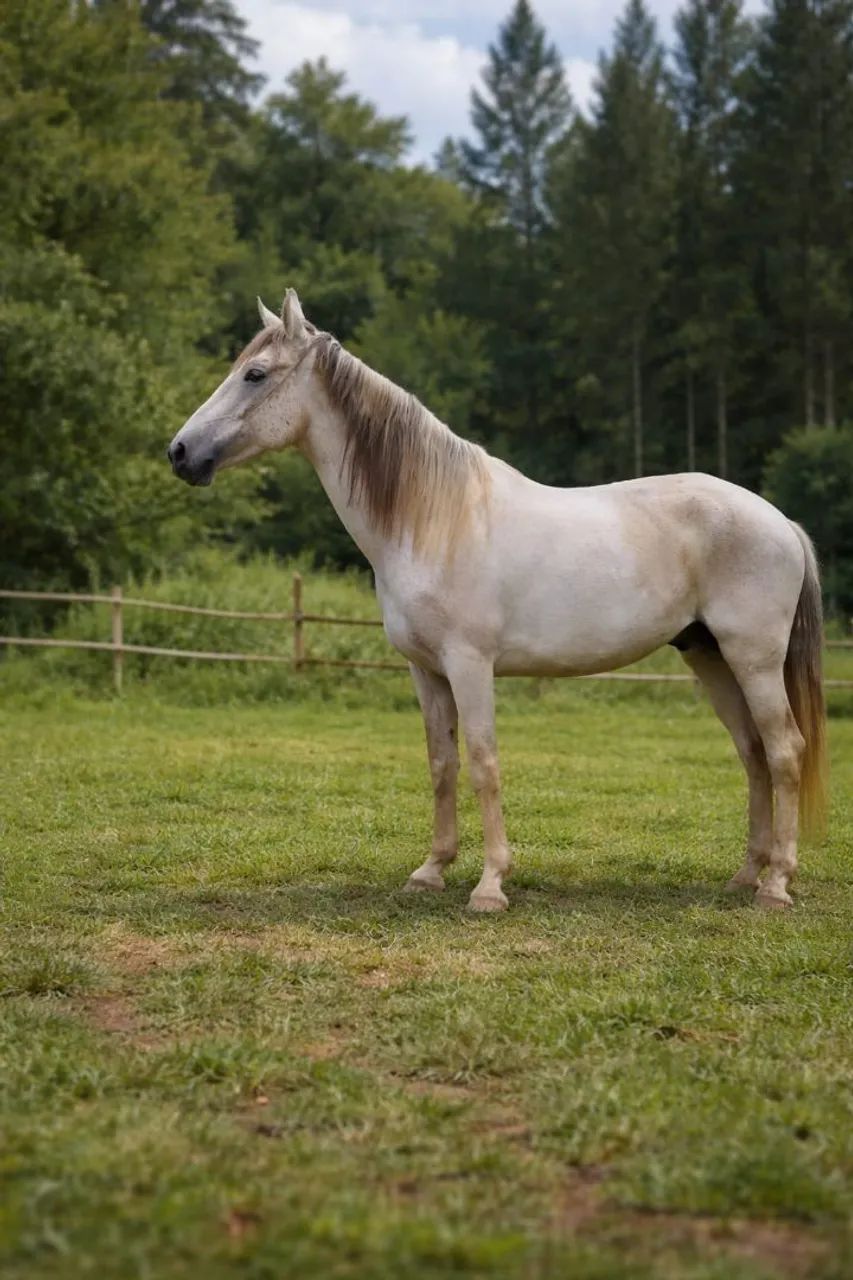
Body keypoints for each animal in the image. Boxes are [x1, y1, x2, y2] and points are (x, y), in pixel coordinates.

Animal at [167, 290, 827, 913]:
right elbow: (442, 764)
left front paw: (489, 886)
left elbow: (484, 763)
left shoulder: (469, 664)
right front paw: (430, 871)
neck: (434, 519)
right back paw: (744, 876)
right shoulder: (426, 671)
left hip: (753, 660)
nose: (179, 452)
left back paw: (776, 886)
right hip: (709, 656)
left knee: (784, 751)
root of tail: (781, 522)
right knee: (752, 752)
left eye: (256, 374)